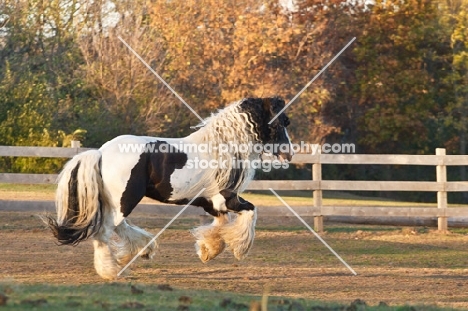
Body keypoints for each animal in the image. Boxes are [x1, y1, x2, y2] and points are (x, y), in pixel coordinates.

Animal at [44, 97, 292, 280]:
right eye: (280, 122)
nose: (288, 154)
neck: (223, 148)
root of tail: (101, 152)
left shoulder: (212, 203)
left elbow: (220, 226)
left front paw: (207, 251)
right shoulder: (227, 198)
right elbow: (251, 211)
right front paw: (239, 249)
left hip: (118, 202)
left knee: (117, 227)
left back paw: (141, 250)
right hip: (125, 200)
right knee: (104, 232)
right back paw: (111, 271)